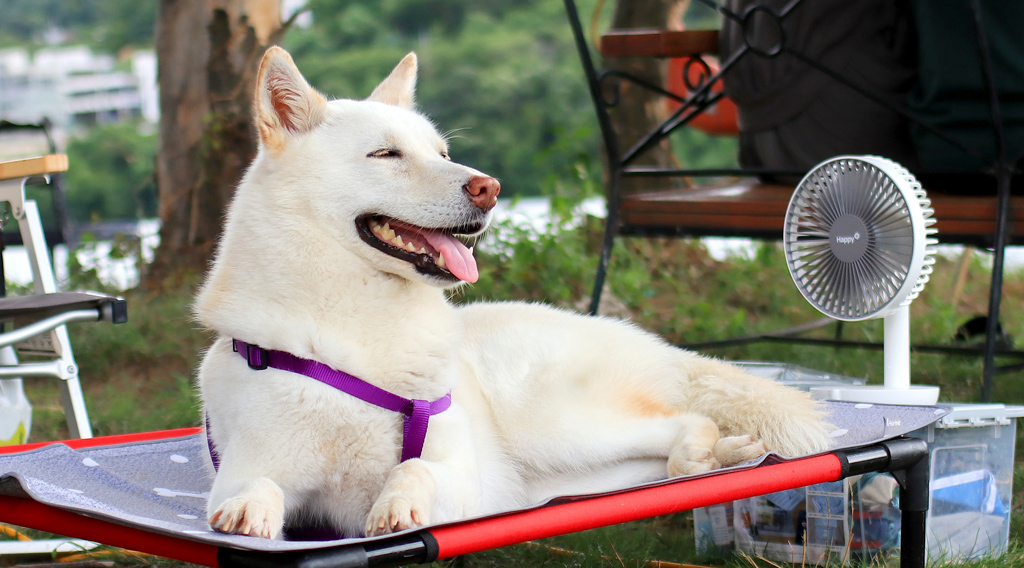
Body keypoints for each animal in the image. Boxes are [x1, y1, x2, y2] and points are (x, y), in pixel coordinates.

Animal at [193, 46, 831, 540]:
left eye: (442, 153)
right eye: (385, 154)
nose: (490, 187)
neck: (356, 333)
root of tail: (649, 344)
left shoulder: (464, 480)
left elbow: (414, 471)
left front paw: (399, 502)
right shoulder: (247, 466)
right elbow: (256, 486)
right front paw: (250, 509)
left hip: (557, 426)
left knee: (688, 418)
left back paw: (706, 453)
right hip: (567, 470)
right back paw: (725, 456)